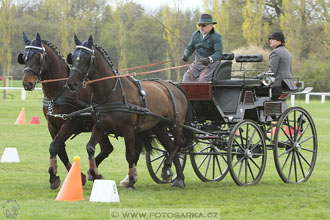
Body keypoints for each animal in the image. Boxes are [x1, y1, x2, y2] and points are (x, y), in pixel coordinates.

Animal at [19, 32, 115, 189]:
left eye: (38, 57)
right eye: (25, 57)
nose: (27, 83)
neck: (60, 91)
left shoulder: (71, 123)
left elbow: (54, 146)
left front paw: (55, 177)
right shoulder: (52, 125)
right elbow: (60, 149)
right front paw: (78, 176)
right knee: (107, 148)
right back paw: (93, 173)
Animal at [66, 34, 192, 189]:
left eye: (86, 57)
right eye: (73, 57)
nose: (71, 83)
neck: (112, 93)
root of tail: (174, 85)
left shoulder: (129, 129)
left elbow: (130, 154)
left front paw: (131, 181)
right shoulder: (100, 126)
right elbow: (90, 148)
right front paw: (94, 173)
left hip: (176, 125)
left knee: (179, 144)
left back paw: (168, 168)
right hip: (159, 127)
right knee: (171, 146)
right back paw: (178, 178)